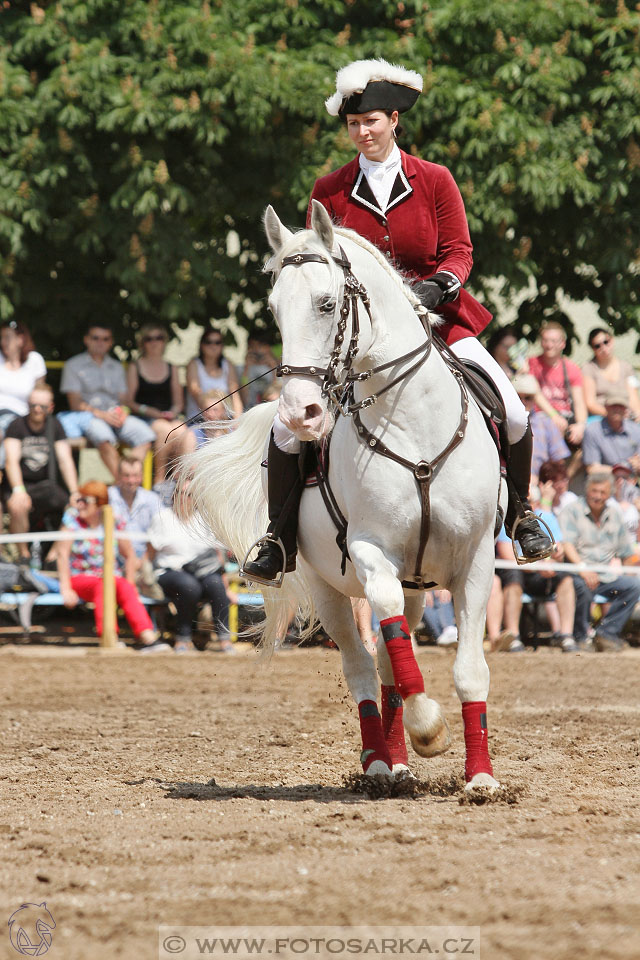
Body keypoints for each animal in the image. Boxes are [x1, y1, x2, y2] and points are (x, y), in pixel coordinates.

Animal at [184, 199, 504, 792]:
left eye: (327, 303)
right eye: (274, 311)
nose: (299, 413)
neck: (413, 424)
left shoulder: (475, 560)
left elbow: (469, 669)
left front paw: (481, 779)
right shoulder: (370, 552)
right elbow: (383, 624)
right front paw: (428, 729)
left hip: (418, 584)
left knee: (387, 660)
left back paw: (396, 762)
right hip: (327, 586)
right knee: (361, 666)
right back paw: (379, 761)